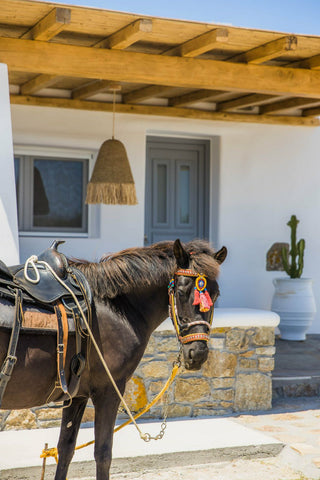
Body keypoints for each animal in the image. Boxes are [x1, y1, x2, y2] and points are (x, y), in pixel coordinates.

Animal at [0, 239, 226, 480]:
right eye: (182, 291)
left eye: (216, 295)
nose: (198, 353)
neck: (114, 309)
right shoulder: (109, 390)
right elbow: (103, 453)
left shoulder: (77, 395)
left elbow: (65, 450)